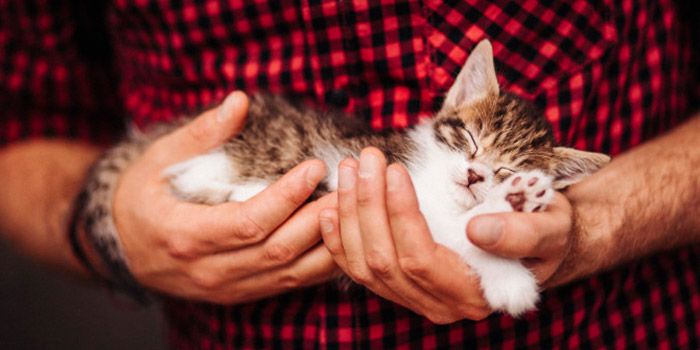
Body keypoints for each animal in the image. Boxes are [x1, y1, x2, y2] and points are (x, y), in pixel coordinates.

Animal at [80, 39, 608, 316]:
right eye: (471, 140)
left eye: (506, 168)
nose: (477, 176)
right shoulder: (396, 178)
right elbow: (452, 227)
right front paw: (510, 271)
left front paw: (518, 199)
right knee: (197, 174)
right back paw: (239, 187)